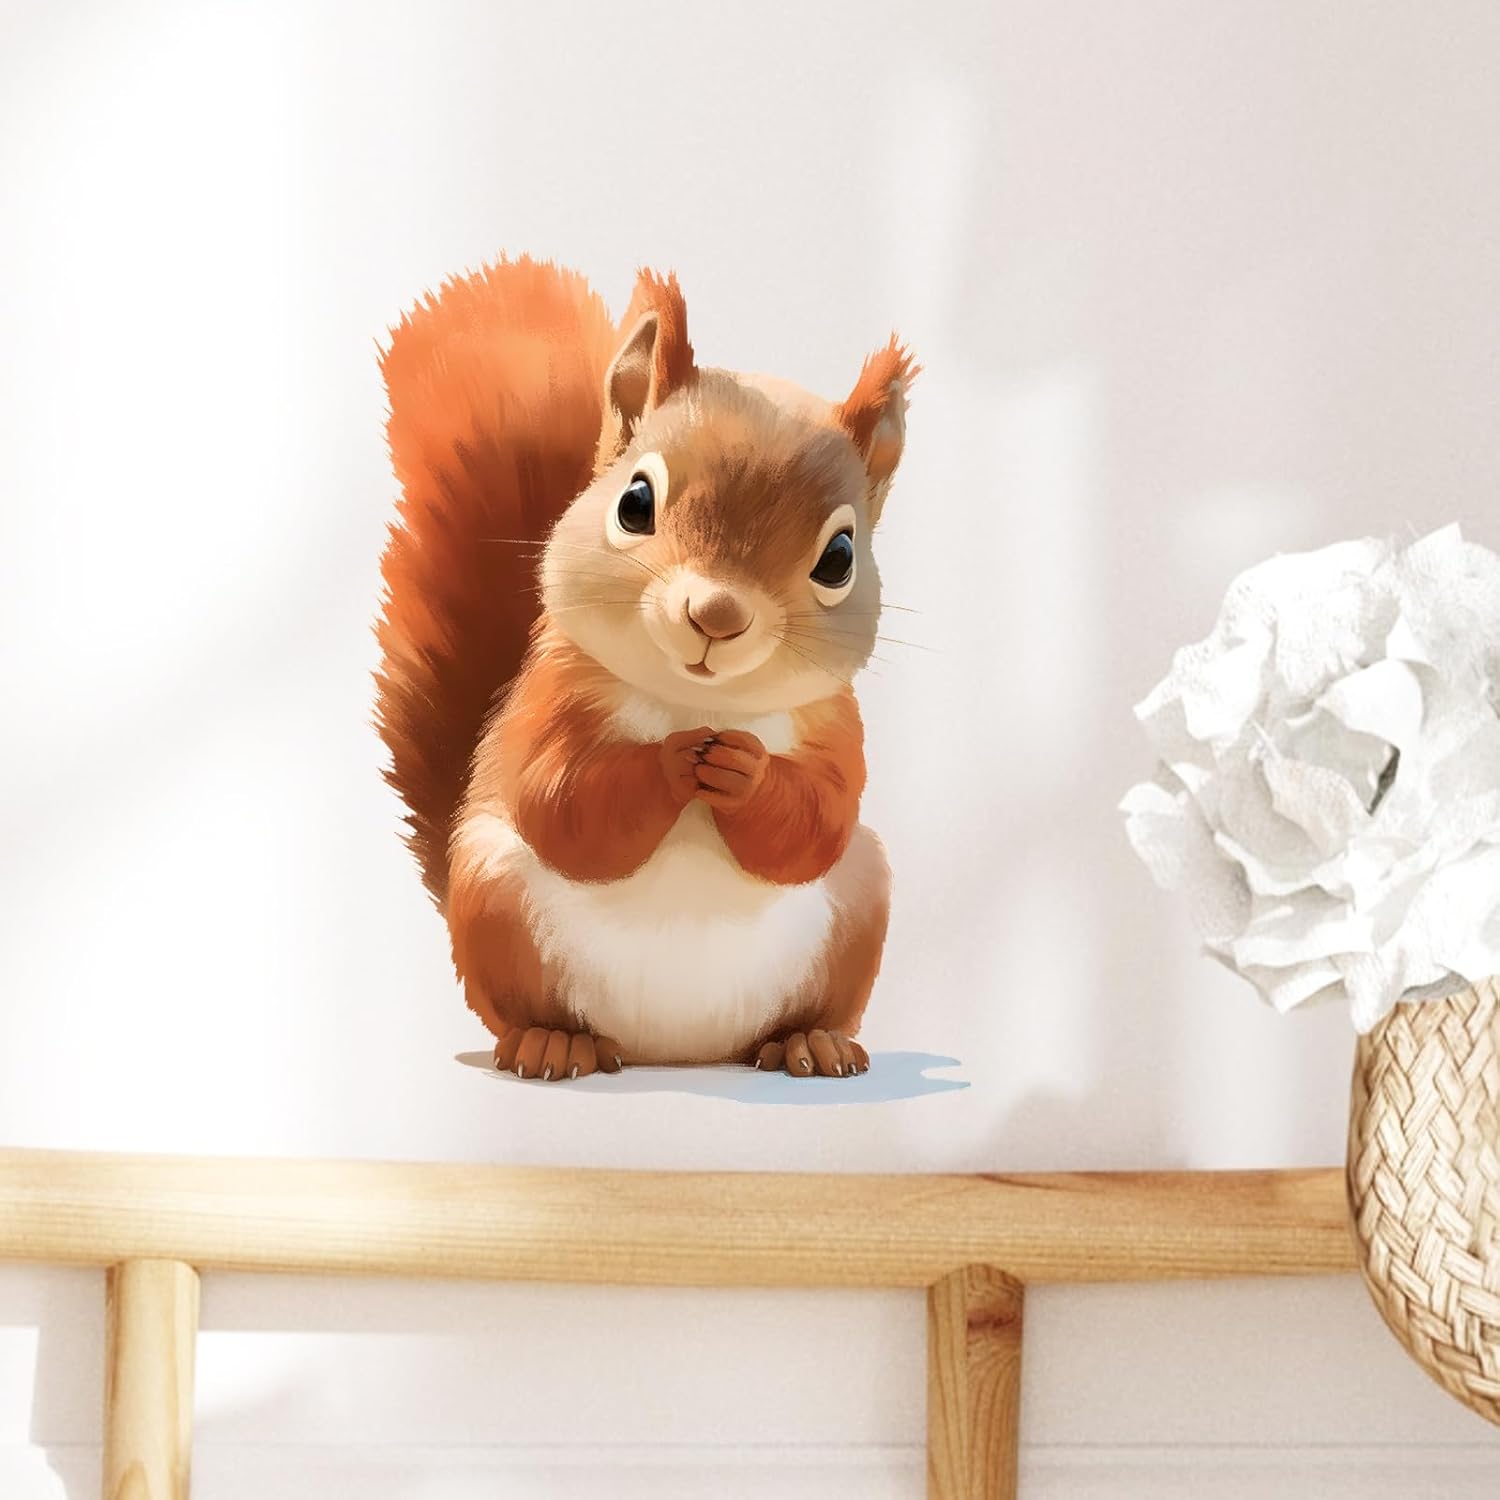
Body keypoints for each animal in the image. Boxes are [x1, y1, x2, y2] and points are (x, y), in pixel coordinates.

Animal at [374, 255, 916, 1081]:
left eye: (840, 557)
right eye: (634, 502)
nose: (717, 615)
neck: (695, 700)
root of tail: (676, 1052)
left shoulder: (835, 725)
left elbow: (815, 824)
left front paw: (745, 771)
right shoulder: (548, 697)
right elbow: (565, 807)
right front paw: (674, 761)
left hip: (863, 899)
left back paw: (809, 1042)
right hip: (494, 898)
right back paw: (552, 1041)